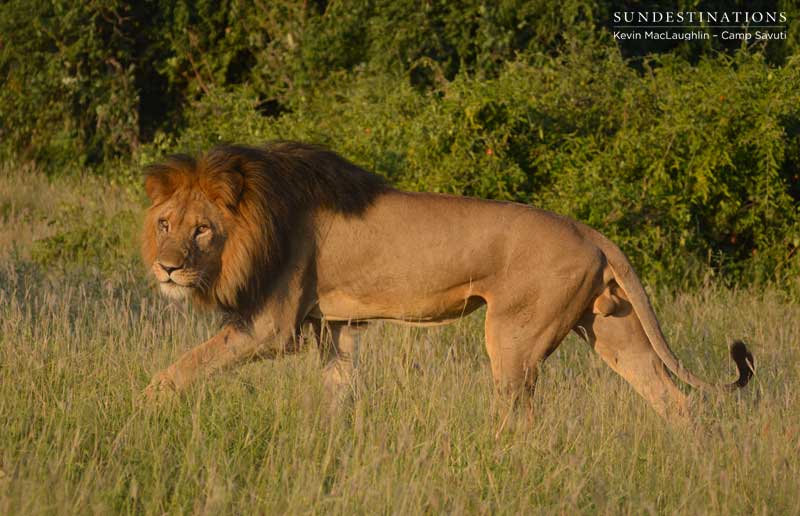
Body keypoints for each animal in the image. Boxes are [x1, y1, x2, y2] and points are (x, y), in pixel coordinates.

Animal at [141, 141, 754, 421]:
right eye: (165, 224)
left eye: (202, 230)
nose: (166, 267)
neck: (259, 213)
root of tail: (590, 229)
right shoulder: (335, 325)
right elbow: (339, 389)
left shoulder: (272, 326)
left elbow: (181, 368)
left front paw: (143, 407)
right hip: (613, 329)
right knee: (674, 400)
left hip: (514, 337)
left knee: (519, 416)